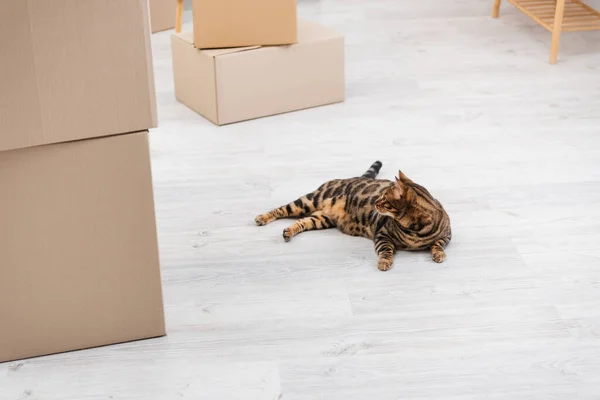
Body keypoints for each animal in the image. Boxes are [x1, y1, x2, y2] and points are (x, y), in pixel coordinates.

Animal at [255, 162, 452, 272]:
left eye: (384, 199)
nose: (375, 202)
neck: (415, 228)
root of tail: (353, 177)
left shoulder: (447, 236)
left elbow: (438, 244)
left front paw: (438, 254)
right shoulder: (382, 234)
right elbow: (386, 250)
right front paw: (384, 262)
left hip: (322, 219)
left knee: (301, 222)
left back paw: (288, 232)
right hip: (309, 200)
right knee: (282, 209)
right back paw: (262, 217)